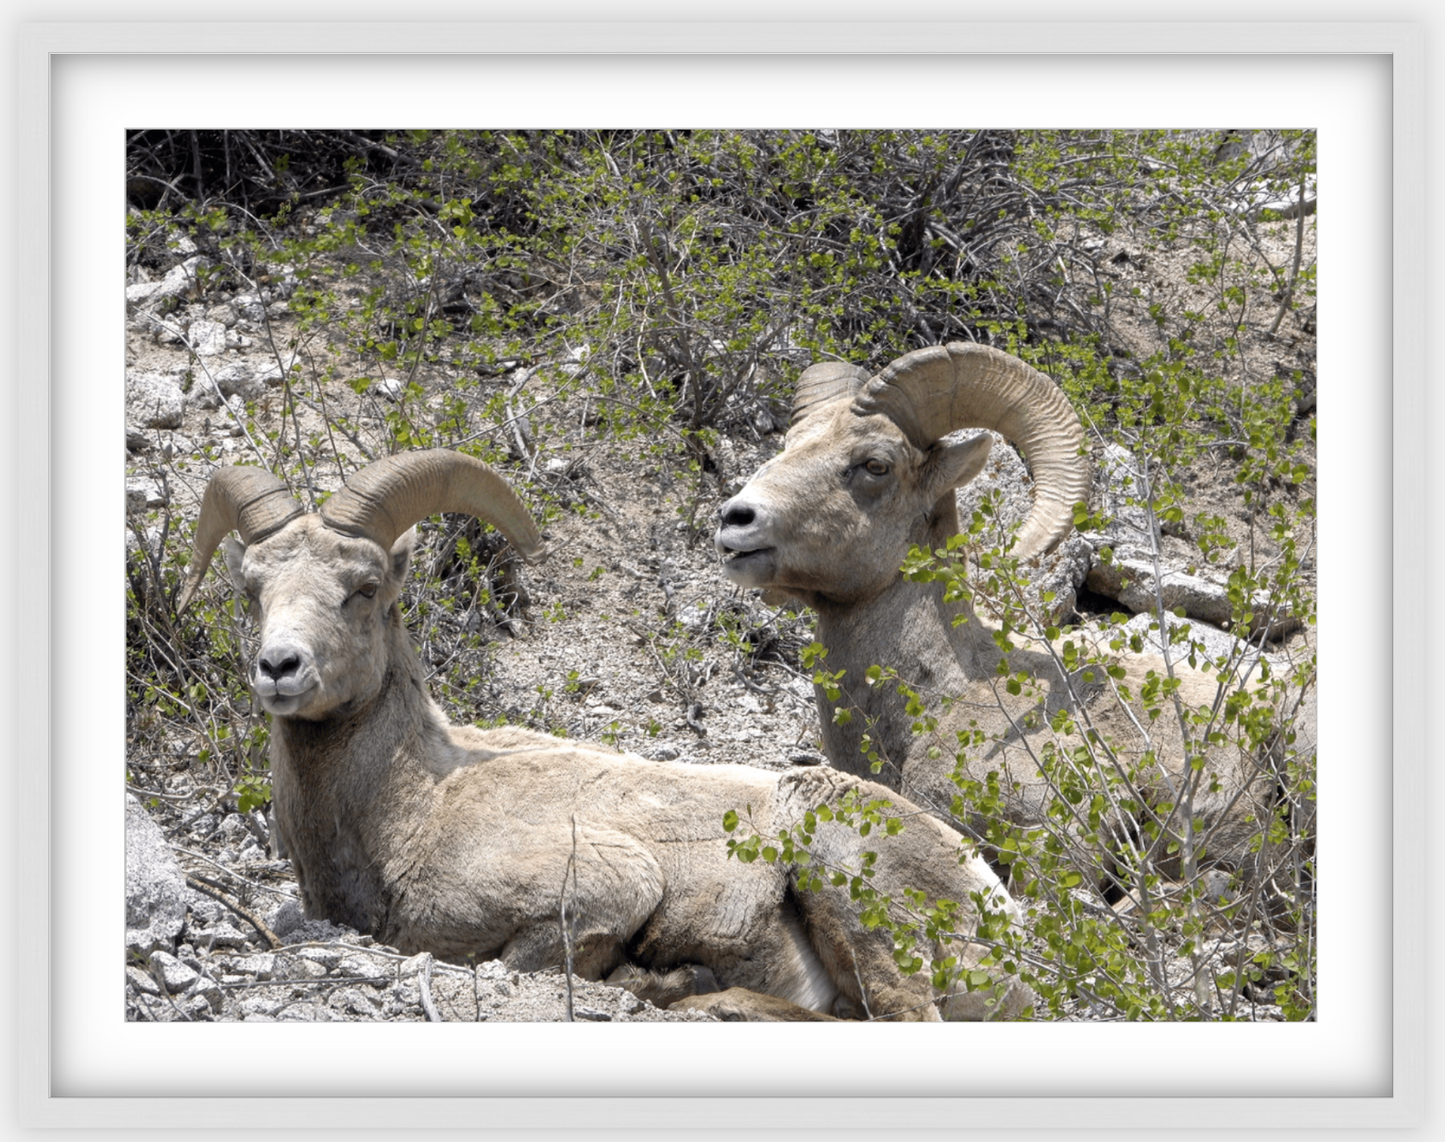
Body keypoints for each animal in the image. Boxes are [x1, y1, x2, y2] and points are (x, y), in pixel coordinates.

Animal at [180, 451, 1034, 1023]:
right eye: (252, 589)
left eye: (362, 589)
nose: (279, 668)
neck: (413, 809)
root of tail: (993, 903)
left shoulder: (603, 889)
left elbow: (542, 959)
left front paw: (664, 980)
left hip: (850, 886)